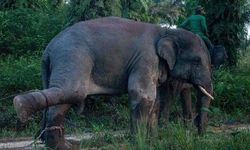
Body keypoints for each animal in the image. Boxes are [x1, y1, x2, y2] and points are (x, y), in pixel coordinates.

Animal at [13, 16, 213, 149]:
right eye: (196, 61)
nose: (200, 136)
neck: (168, 31)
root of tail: (49, 48)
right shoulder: (146, 59)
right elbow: (141, 95)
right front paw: (139, 143)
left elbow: (153, 103)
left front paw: (153, 142)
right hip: (72, 57)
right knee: (71, 92)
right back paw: (22, 108)